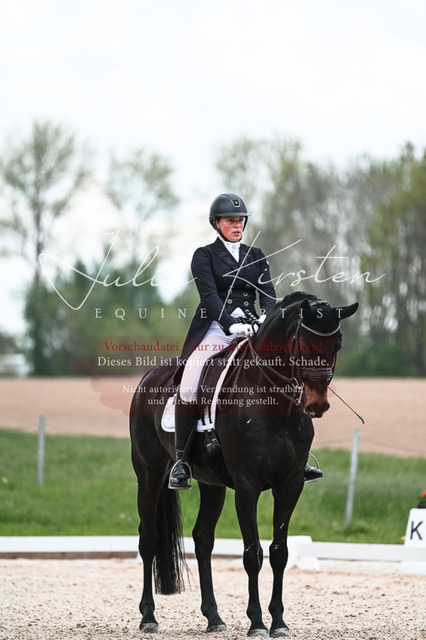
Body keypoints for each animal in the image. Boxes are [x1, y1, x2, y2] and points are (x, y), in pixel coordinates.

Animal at [129, 291, 358, 637]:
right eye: (305, 343)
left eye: (338, 344)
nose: (317, 406)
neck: (273, 402)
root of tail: (148, 377)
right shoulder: (247, 485)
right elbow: (252, 553)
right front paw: (257, 623)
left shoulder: (290, 484)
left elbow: (279, 552)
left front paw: (279, 622)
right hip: (150, 475)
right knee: (149, 539)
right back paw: (148, 617)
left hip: (211, 484)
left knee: (203, 540)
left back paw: (213, 618)